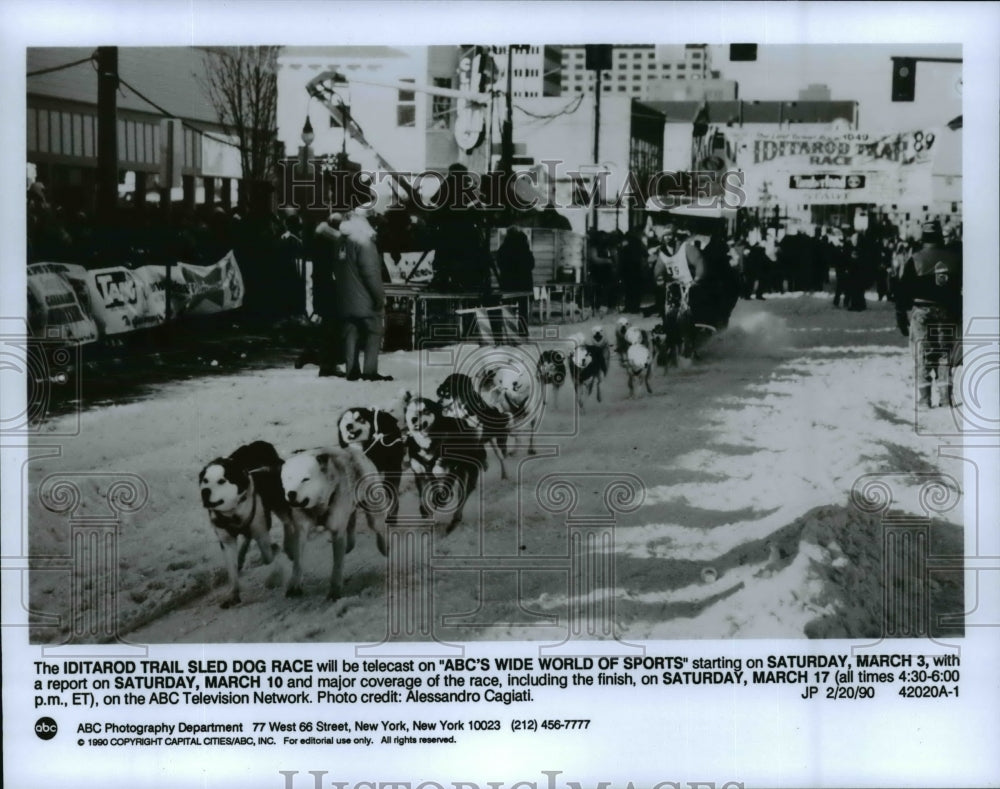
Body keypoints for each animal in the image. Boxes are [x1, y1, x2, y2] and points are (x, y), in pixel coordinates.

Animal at [197, 440, 294, 608]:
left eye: (221, 481)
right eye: (205, 481)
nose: (205, 492)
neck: (232, 513)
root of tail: (260, 444)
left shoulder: (261, 532)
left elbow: (268, 556)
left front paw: (275, 569)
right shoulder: (226, 539)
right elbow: (232, 570)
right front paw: (233, 594)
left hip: (279, 505)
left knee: (287, 522)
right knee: (247, 537)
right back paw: (242, 556)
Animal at [404, 394, 486, 528]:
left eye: (426, 410)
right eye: (411, 410)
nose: (414, 419)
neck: (426, 445)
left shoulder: (448, 467)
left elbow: (440, 480)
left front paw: (440, 498)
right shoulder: (419, 472)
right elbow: (423, 494)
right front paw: (425, 510)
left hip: (467, 471)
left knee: (464, 494)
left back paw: (456, 517)